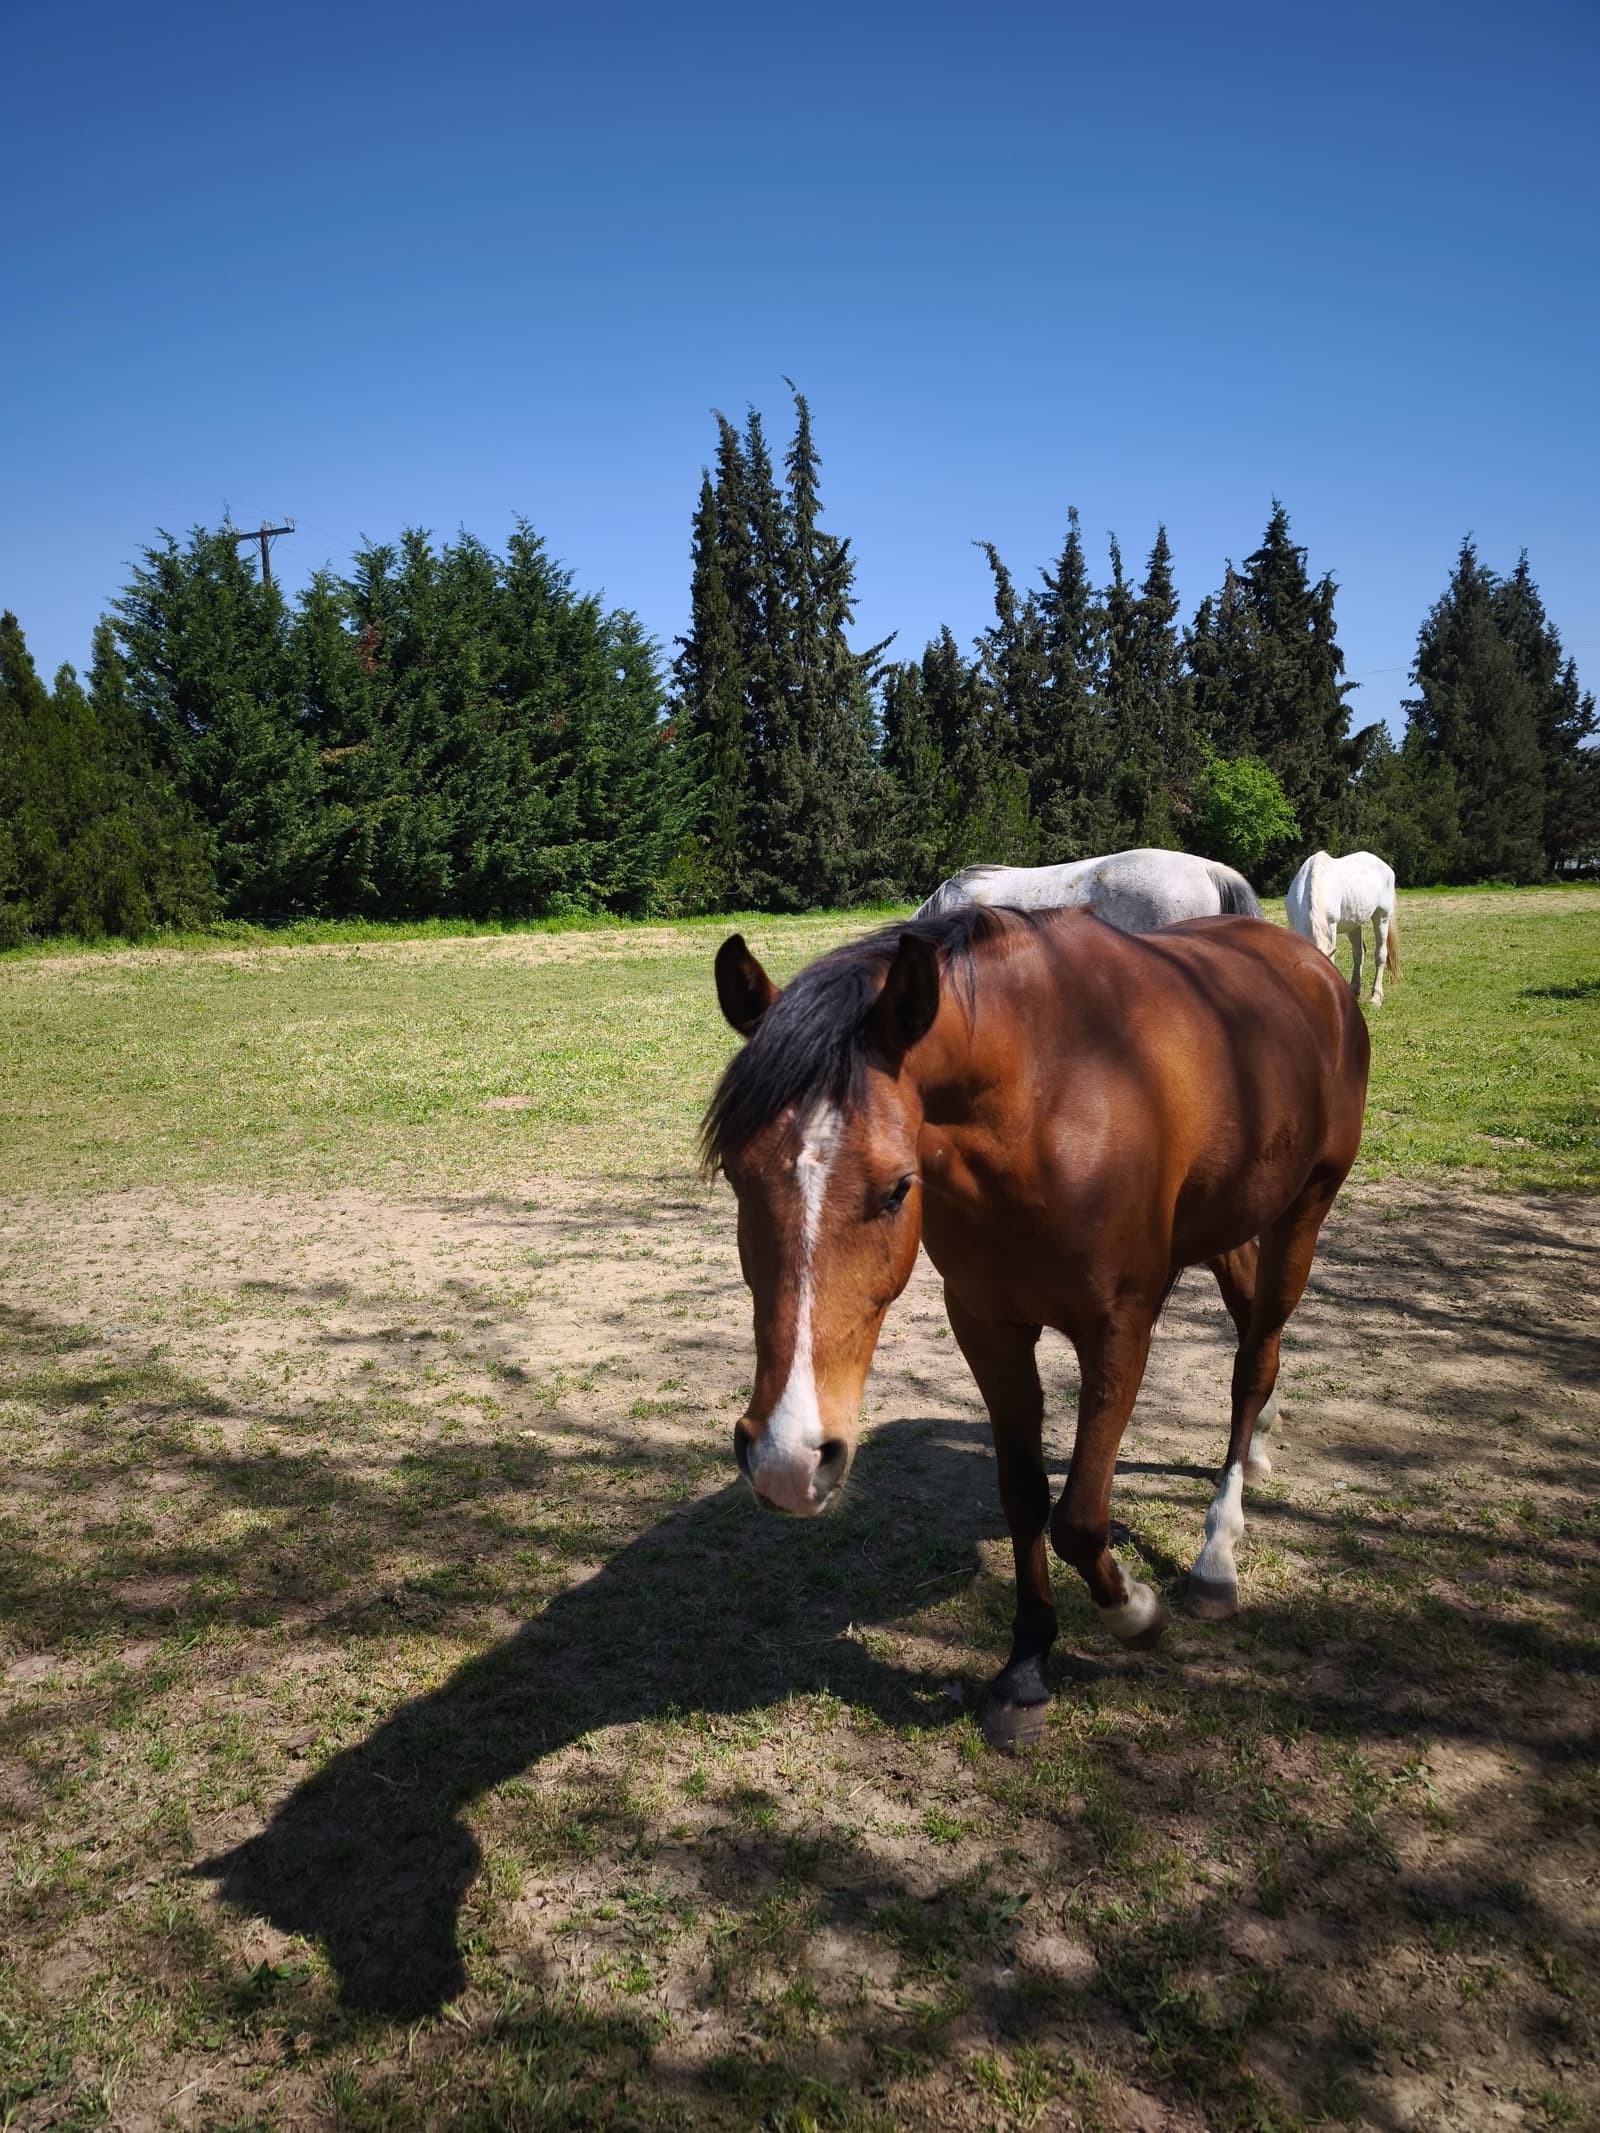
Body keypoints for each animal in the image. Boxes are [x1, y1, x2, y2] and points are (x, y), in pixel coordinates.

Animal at [703, 905, 1370, 1750]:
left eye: (897, 1189)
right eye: (736, 1174)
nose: (787, 1461)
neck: (1047, 1098)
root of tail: (1310, 967)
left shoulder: (1119, 1324)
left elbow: (1080, 1516)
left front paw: (1136, 1613)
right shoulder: (986, 1322)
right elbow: (1024, 1495)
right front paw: (1026, 1668)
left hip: (1304, 1212)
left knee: (1255, 1359)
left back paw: (1219, 1550)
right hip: (1230, 1218)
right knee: (1256, 1329)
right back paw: (1258, 1450)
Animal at [1285, 850, 1399, 1008]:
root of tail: (1385, 866)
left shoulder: (1331, 927)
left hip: (1382, 916)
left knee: (1380, 954)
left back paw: (1376, 998)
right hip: (1354, 923)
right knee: (1359, 953)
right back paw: (1354, 991)